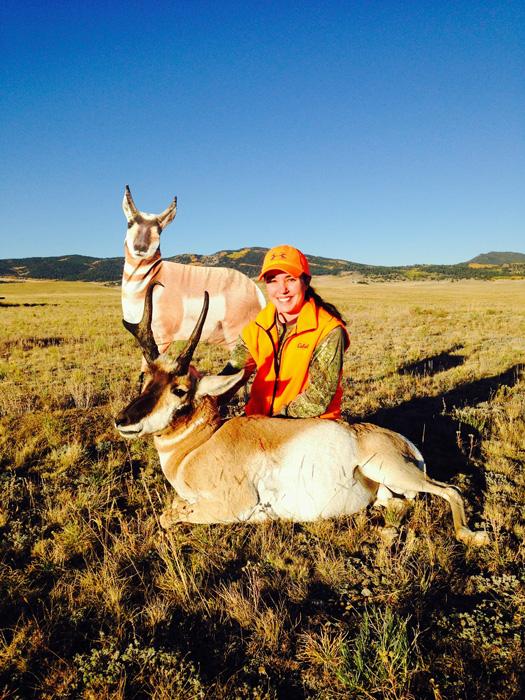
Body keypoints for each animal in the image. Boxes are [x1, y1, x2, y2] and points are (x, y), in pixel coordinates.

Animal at [115, 285, 489, 546]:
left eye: (179, 389)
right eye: (144, 377)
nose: (123, 421)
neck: (201, 441)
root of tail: (401, 441)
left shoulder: (232, 504)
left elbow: (169, 515)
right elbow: (174, 507)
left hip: (391, 470)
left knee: (451, 489)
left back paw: (474, 535)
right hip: (387, 488)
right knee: (399, 505)